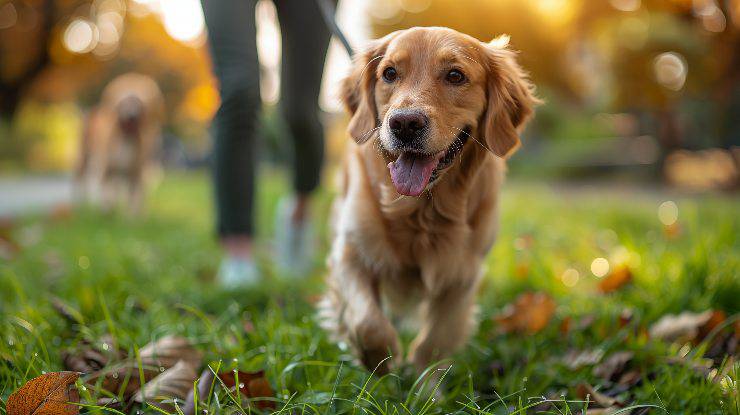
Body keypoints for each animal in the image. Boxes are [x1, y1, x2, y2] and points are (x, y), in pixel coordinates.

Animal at [74, 73, 163, 214]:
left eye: (139, 104)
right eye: (124, 102)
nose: (132, 115)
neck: (126, 138)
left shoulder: (135, 173)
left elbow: (134, 200)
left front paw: (132, 216)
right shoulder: (107, 169)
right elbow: (107, 194)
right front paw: (106, 210)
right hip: (84, 156)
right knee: (81, 179)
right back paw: (81, 205)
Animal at [320, 27, 536, 376]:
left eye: (455, 75)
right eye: (389, 73)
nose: (405, 124)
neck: (420, 211)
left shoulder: (462, 273)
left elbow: (435, 340)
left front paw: (424, 383)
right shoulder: (350, 251)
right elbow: (368, 322)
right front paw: (379, 362)